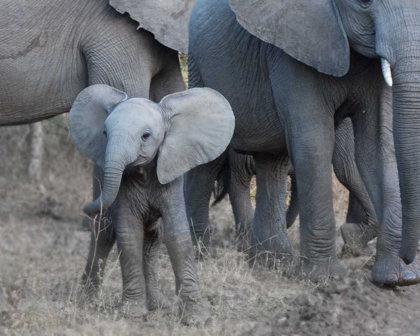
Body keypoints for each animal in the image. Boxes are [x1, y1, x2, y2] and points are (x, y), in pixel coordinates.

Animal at [67, 84, 235, 326]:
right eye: (105, 134)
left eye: (146, 136)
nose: (84, 207)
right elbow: (129, 233)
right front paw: (133, 313)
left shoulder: (172, 175)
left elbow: (176, 235)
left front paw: (196, 318)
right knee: (105, 231)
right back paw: (88, 299)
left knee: (153, 237)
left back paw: (157, 304)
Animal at [185, 0, 420, 286]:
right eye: (364, 3)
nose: (408, 257)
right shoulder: (292, 48)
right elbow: (314, 144)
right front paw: (326, 279)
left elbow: (378, 148)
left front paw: (399, 277)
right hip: (200, 68)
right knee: (212, 156)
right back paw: (200, 254)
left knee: (272, 161)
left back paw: (270, 262)